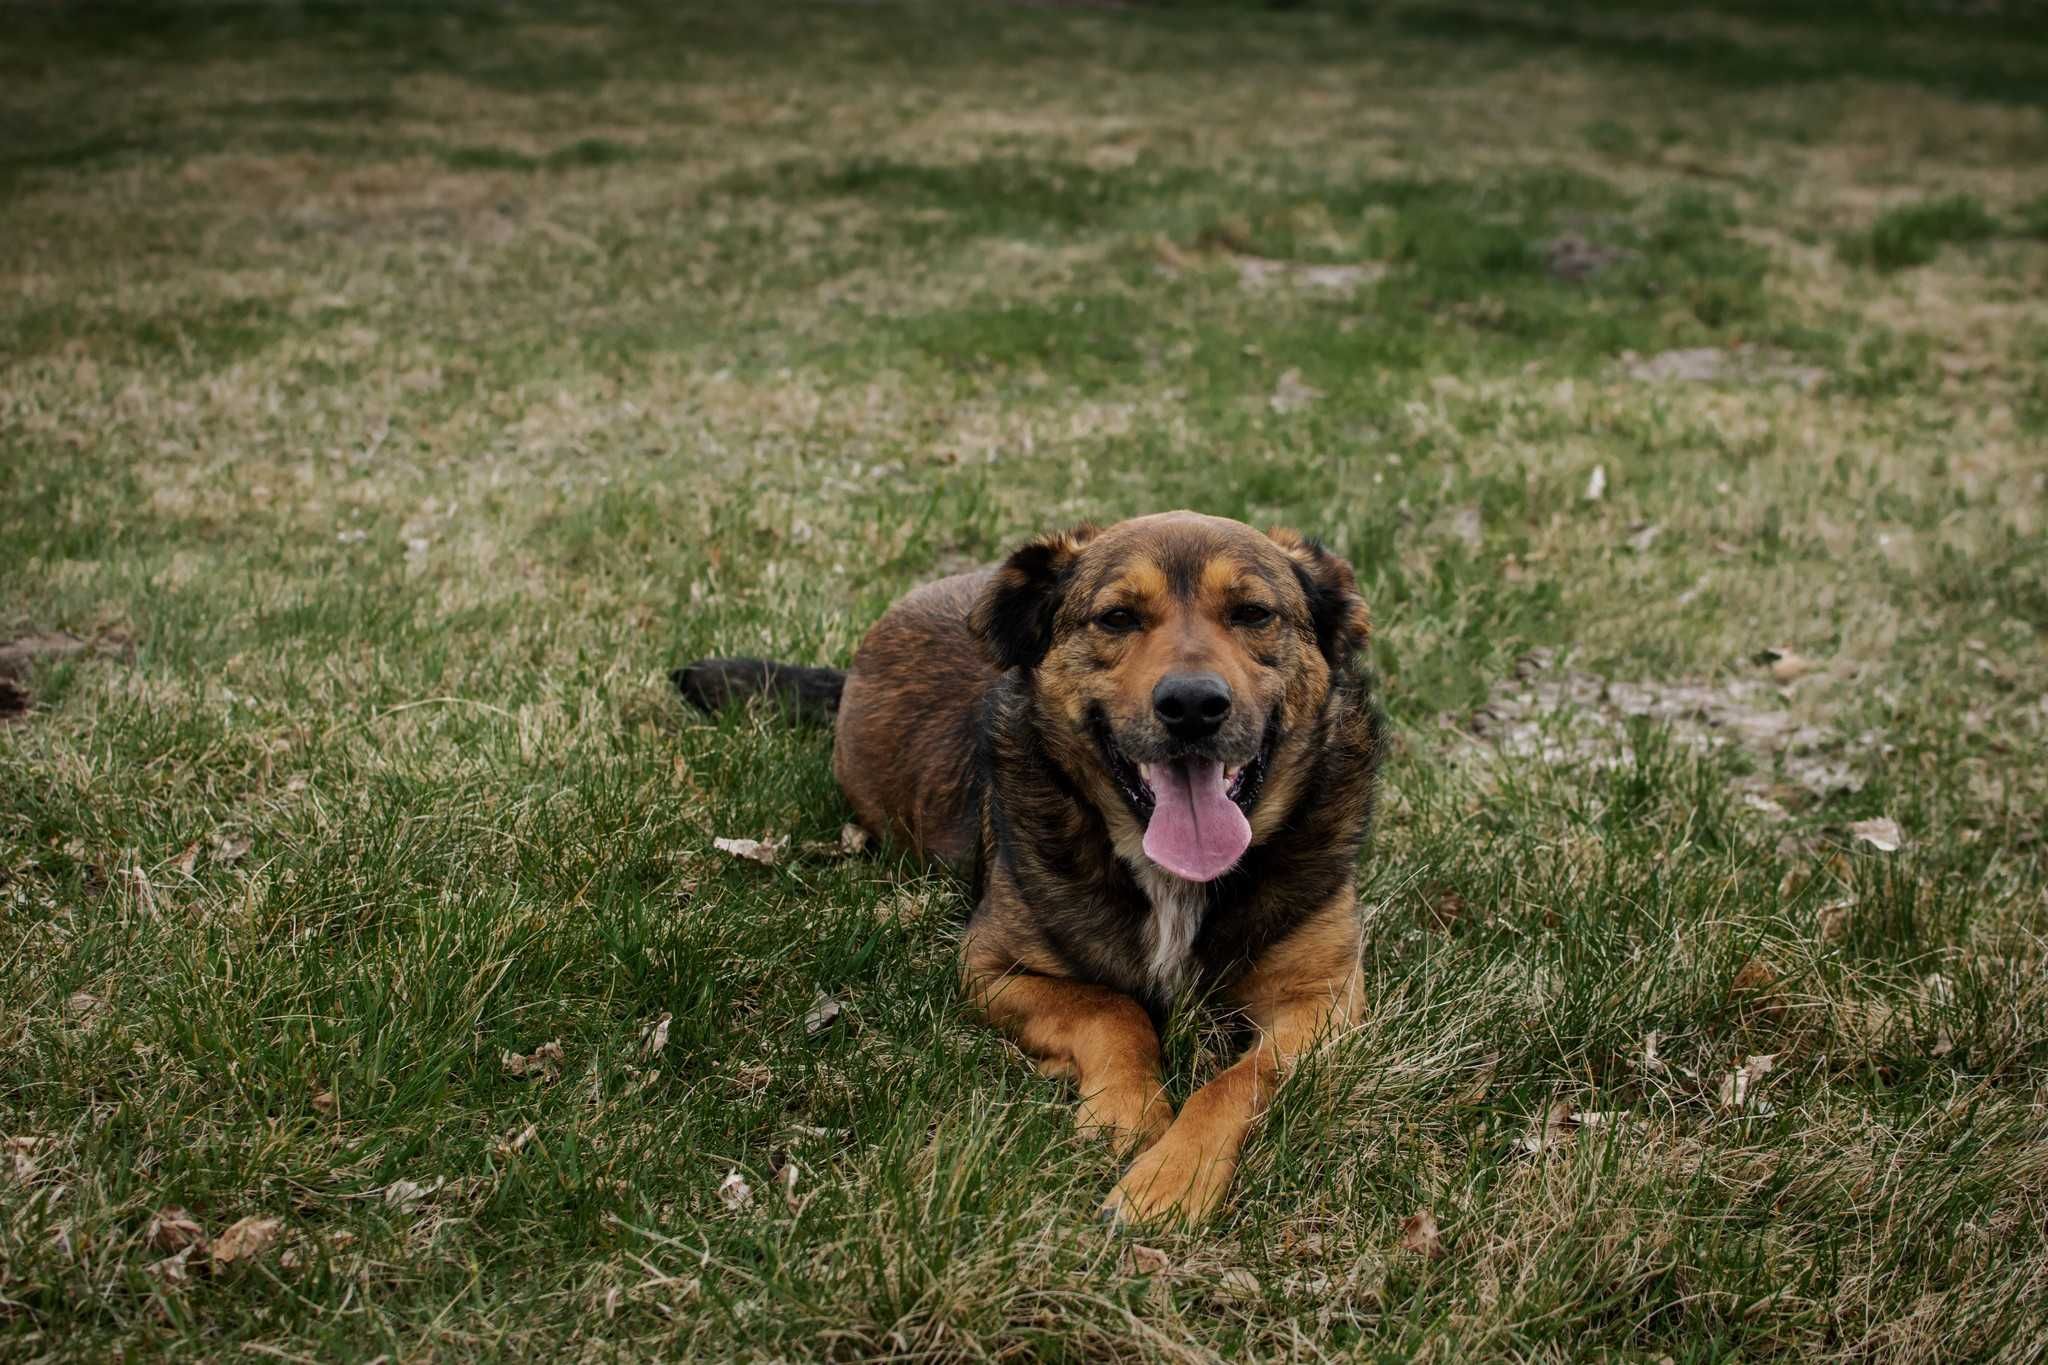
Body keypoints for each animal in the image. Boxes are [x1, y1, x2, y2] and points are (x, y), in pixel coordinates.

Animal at [679, 511, 1384, 1227]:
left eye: (1252, 613)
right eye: (1118, 618)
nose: (1191, 705)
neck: (1170, 877)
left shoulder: (1324, 999)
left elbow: (1240, 1078)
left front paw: (1173, 1177)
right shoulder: (990, 968)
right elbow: (1110, 1008)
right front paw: (1127, 1111)